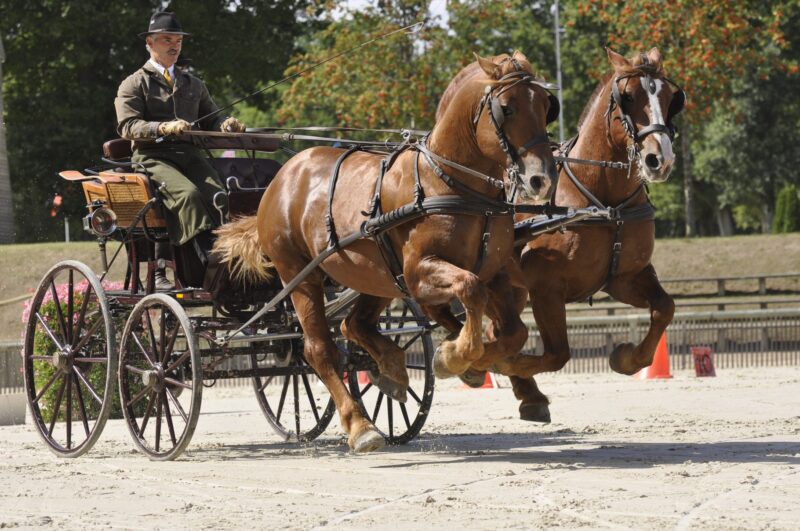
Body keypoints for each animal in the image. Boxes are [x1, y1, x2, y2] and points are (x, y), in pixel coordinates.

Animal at [219, 51, 556, 454]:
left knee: (354, 324)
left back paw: (393, 371)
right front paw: (453, 357)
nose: (541, 179)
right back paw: (360, 425)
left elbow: (512, 331)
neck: (447, 181)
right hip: (300, 276)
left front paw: (475, 364)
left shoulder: (494, 272)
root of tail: (281, 179)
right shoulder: (420, 272)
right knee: (318, 349)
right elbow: (469, 292)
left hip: (374, 276)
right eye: (507, 108)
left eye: (546, 105)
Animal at [438, 46, 680, 424]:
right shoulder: (547, 289)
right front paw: (499, 364)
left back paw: (523, 390)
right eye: (627, 97)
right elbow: (556, 354)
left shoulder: (624, 277)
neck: (603, 201)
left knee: (498, 329)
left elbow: (664, 308)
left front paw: (627, 357)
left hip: (509, 286)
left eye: (670, 98)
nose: (660, 159)